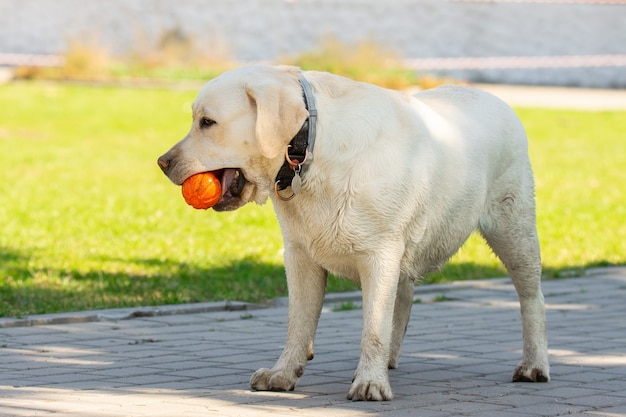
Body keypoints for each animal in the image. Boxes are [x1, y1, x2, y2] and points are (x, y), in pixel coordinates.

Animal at [156, 64, 544, 400]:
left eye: (207, 122)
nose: (162, 162)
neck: (311, 151)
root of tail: (495, 98)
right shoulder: (299, 253)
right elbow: (298, 322)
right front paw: (283, 373)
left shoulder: (380, 253)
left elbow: (373, 325)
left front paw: (371, 382)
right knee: (403, 297)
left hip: (513, 227)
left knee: (531, 298)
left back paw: (534, 365)